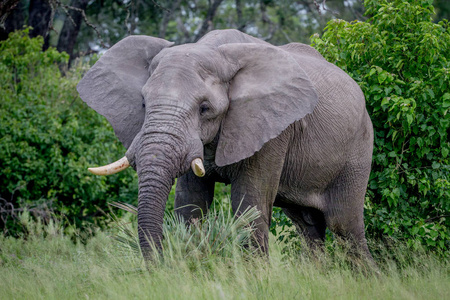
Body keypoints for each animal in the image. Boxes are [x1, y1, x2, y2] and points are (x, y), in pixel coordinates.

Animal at [76, 29, 372, 262]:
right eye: (143, 104)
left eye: (205, 108)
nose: (159, 264)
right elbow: (191, 202)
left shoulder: (270, 130)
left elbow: (249, 205)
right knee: (308, 225)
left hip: (358, 150)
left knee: (344, 225)